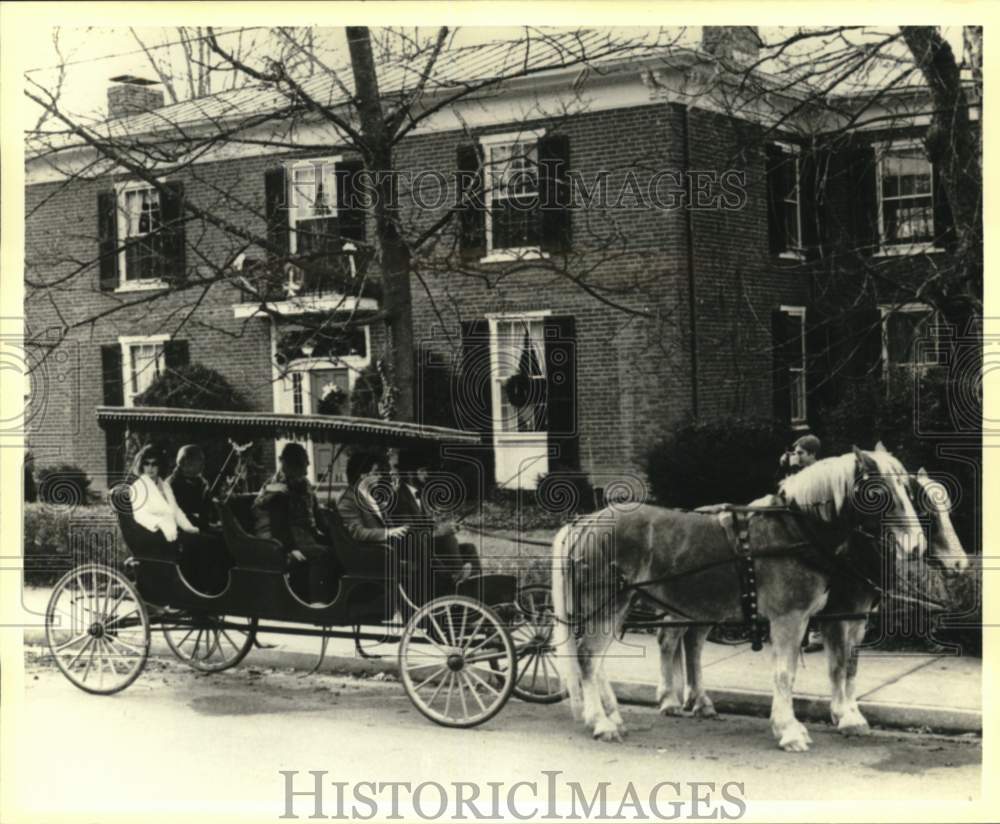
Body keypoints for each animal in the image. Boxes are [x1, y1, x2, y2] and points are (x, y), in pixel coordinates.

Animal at [552, 448, 924, 748]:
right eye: (876, 492)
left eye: (907, 489)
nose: (916, 544)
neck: (795, 531)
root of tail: (585, 521)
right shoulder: (791, 618)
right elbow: (789, 673)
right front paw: (790, 729)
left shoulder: (830, 618)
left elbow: (842, 665)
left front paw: (842, 717)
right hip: (605, 604)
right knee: (589, 656)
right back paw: (602, 722)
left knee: (612, 657)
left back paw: (616, 715)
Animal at [656, 464, 968, 740]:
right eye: (926, 508)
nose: (959, 564)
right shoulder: (838, 615)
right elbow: (839, 664)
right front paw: (844, 715)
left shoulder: (856, 617)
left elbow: (850, 665)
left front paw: (849, 713)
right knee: (669, 639)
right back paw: (669, 698)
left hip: (706, 606)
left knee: (693, 642)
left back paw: (699, 701)